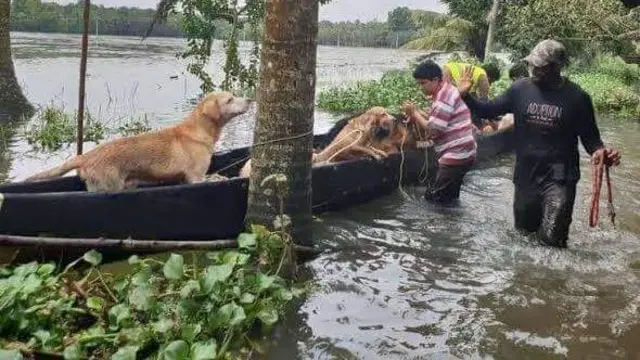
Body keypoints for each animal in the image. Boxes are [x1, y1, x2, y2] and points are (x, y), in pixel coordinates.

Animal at [22, 91, 249, 193]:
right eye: (229, 99)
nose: (249, 99)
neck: (200, 129)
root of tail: (86, 156)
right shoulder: (195, 178)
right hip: (109, 186)